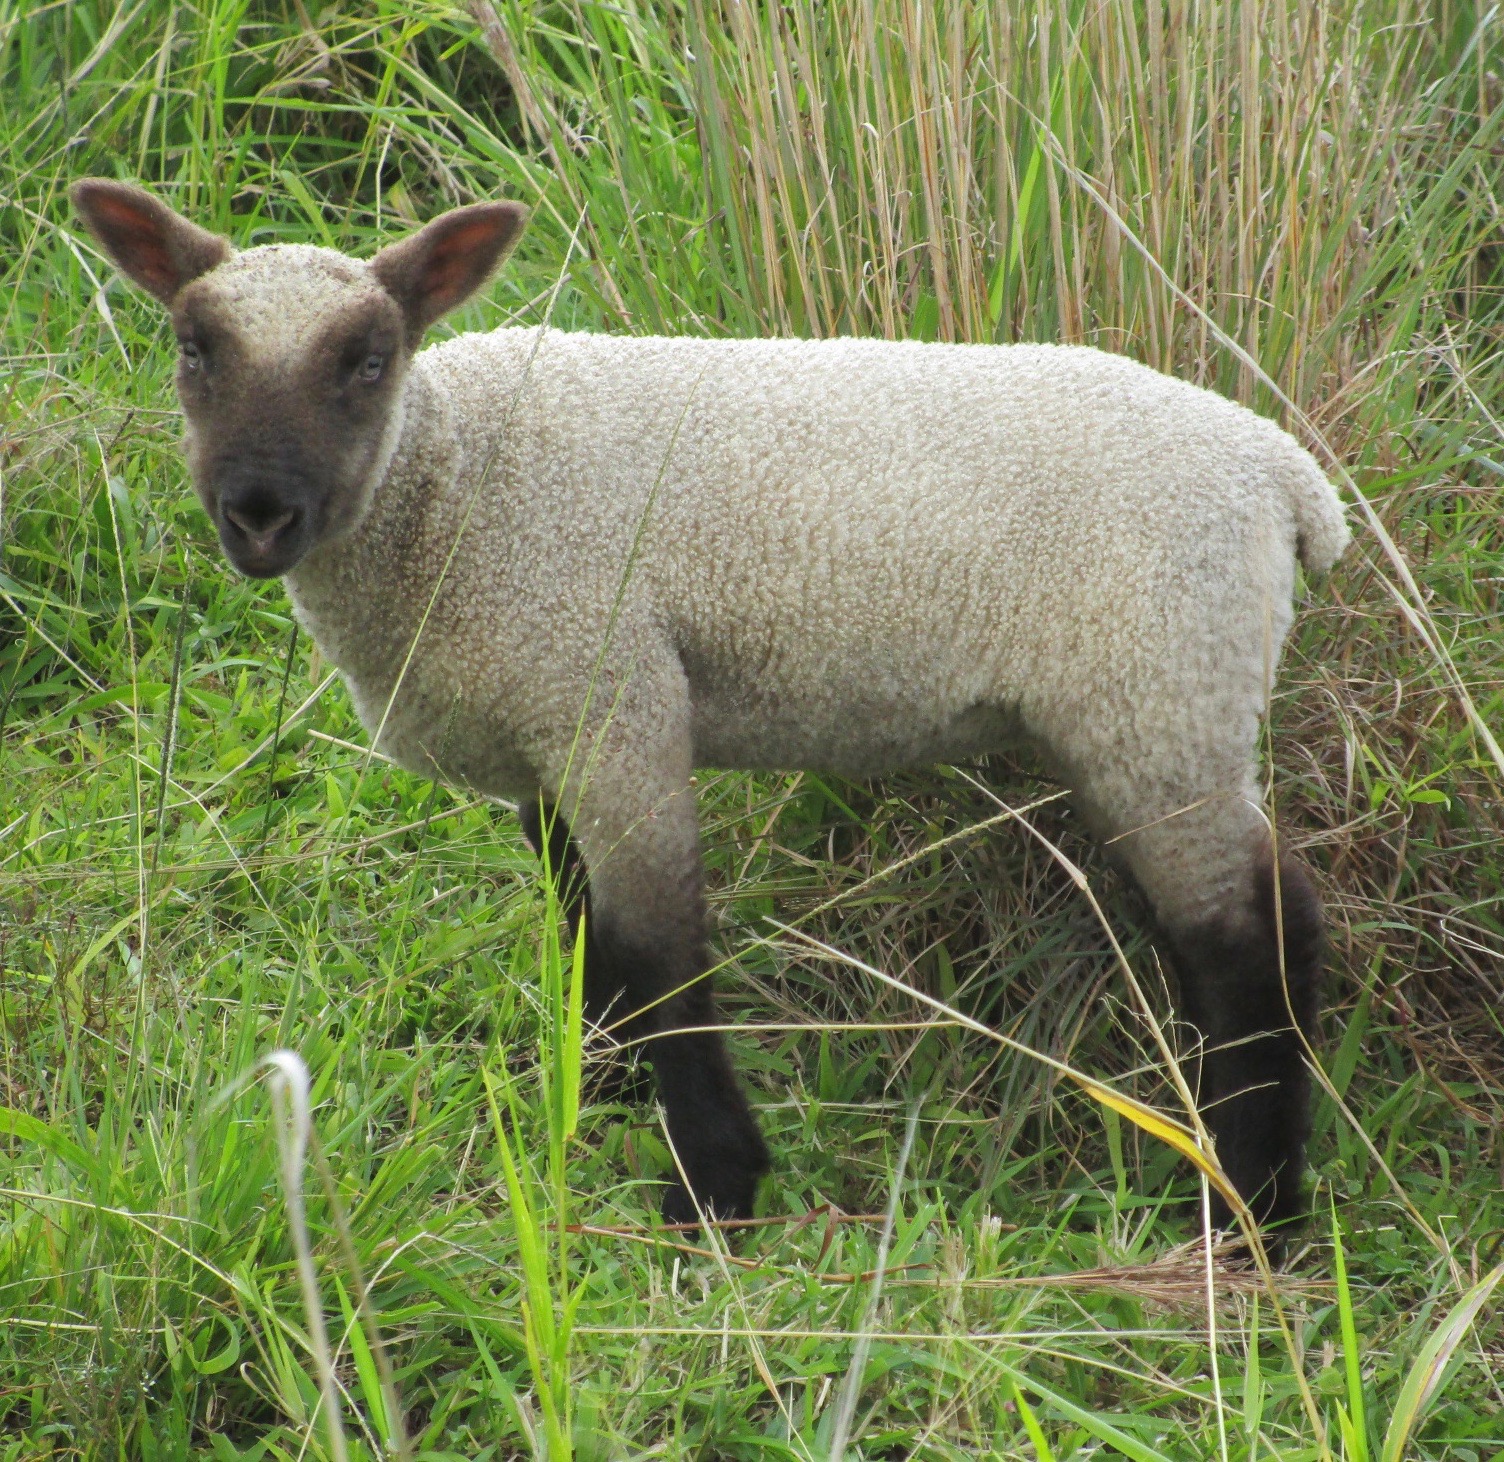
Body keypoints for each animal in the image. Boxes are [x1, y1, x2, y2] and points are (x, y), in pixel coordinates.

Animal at [70, 179, 1353, 1233]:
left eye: (370, 358)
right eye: (193, 345)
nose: (258, 511)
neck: (451, 481)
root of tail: (1284, 476)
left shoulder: (614, 697)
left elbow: (661, 947)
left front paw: (715, 1188)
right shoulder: (546, 733)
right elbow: (585, 930)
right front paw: (596, 1094)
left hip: (1162, 686)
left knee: (1254, 934)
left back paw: (1252, 1207)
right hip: (1142, 711)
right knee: (1218, 929)